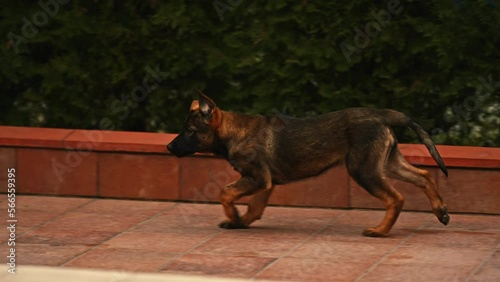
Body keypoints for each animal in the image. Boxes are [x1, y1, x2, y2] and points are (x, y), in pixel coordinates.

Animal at [167, 93, 450, 237]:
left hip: (364, 170)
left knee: (396, 197)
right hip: (387, 161)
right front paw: (240, 222)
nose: (169, 148)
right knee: (424, 175)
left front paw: (234, 216)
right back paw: (440, 211)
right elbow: (254, 207)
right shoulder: (265, 182)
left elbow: (225, 192)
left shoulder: (257, 178)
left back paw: (379, 231)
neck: (233, 132)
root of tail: (381, 114)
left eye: (189, 130)